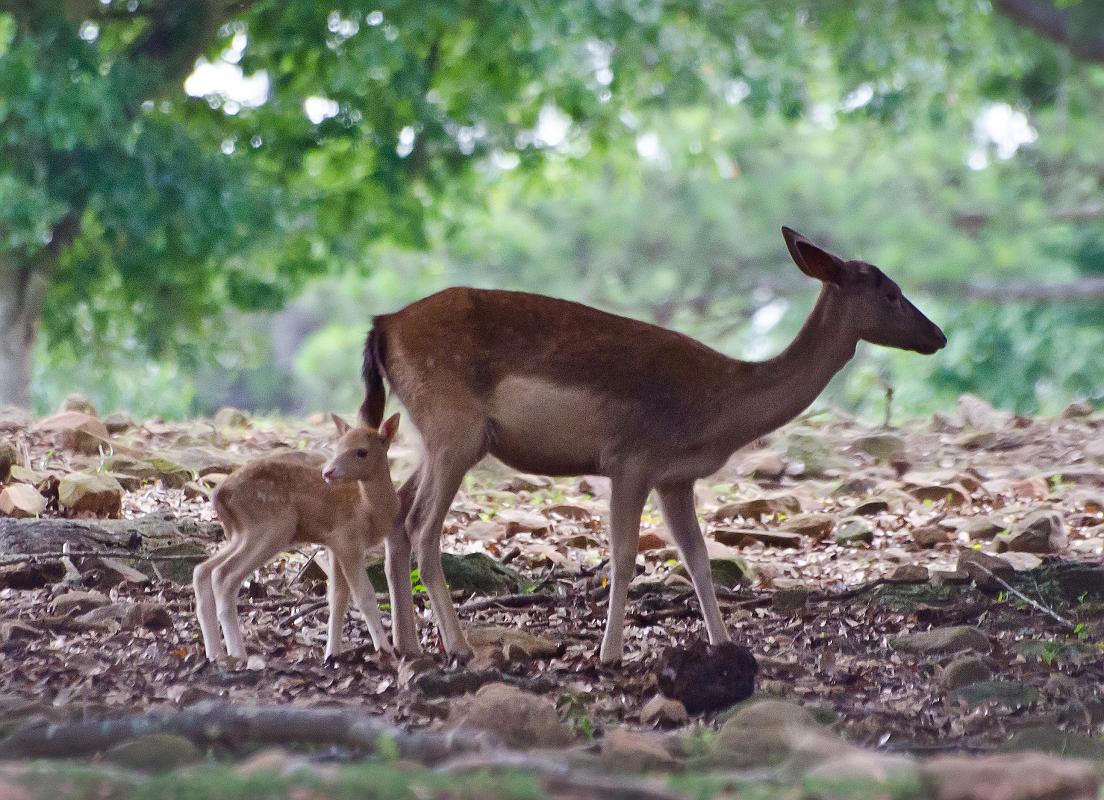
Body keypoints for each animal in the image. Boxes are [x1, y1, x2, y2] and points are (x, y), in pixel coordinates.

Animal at [193, 413, 400, 662]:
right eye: (338, 446)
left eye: (362, 451)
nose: (328, 472)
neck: (368, 510)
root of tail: (218, 494)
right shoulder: (348, 539)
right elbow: (364, 595)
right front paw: (385, 650)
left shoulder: (334, 544)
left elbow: (337, 597)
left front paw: (332, 654)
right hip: (273, 527)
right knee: (224, 575)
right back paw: (238, 654)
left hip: (240, 533)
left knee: (202, 570)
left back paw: (215, 653)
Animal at [361, 227, 946, 664]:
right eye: (890, 292)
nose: (937, 336)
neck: (718, 407)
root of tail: (383, 325)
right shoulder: (631, 457)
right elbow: (624, 557)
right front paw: (610, 653)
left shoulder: (675, 477)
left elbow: (699, 558)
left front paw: (724, 644)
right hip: (453, 428)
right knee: (422, 524)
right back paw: (457, 647)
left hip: (435, 434)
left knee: (398, 515)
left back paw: (409, 647)